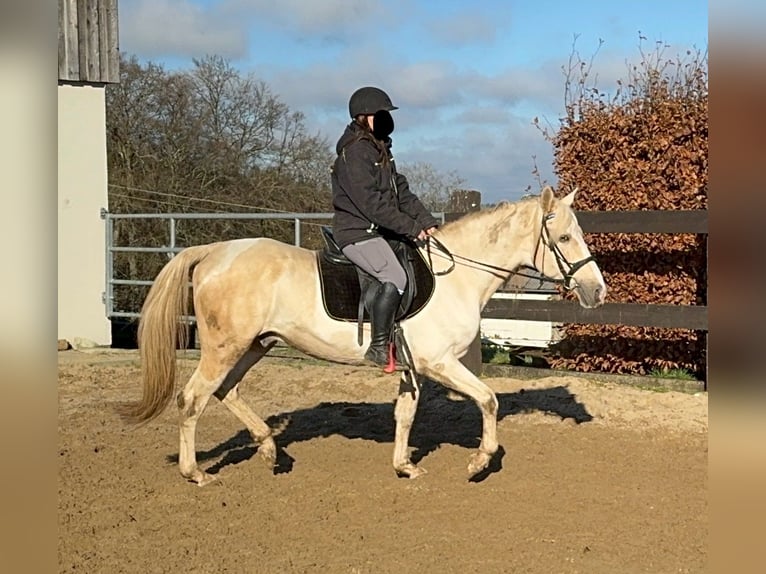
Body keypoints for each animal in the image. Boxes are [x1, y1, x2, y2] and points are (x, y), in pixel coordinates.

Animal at [118, 188, 608, 486]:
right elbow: (488, 401)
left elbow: (406, 415)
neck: (456, 277)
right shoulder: (439, 364)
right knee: (193, 399)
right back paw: (196, 473)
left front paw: (405, 466)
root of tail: (214, 252)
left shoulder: (414, 368)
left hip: (256, 345)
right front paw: (478, 462)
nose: (598, 291)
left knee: (227, 392)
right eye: (565, 237)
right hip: (225, 347)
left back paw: (271, 450)